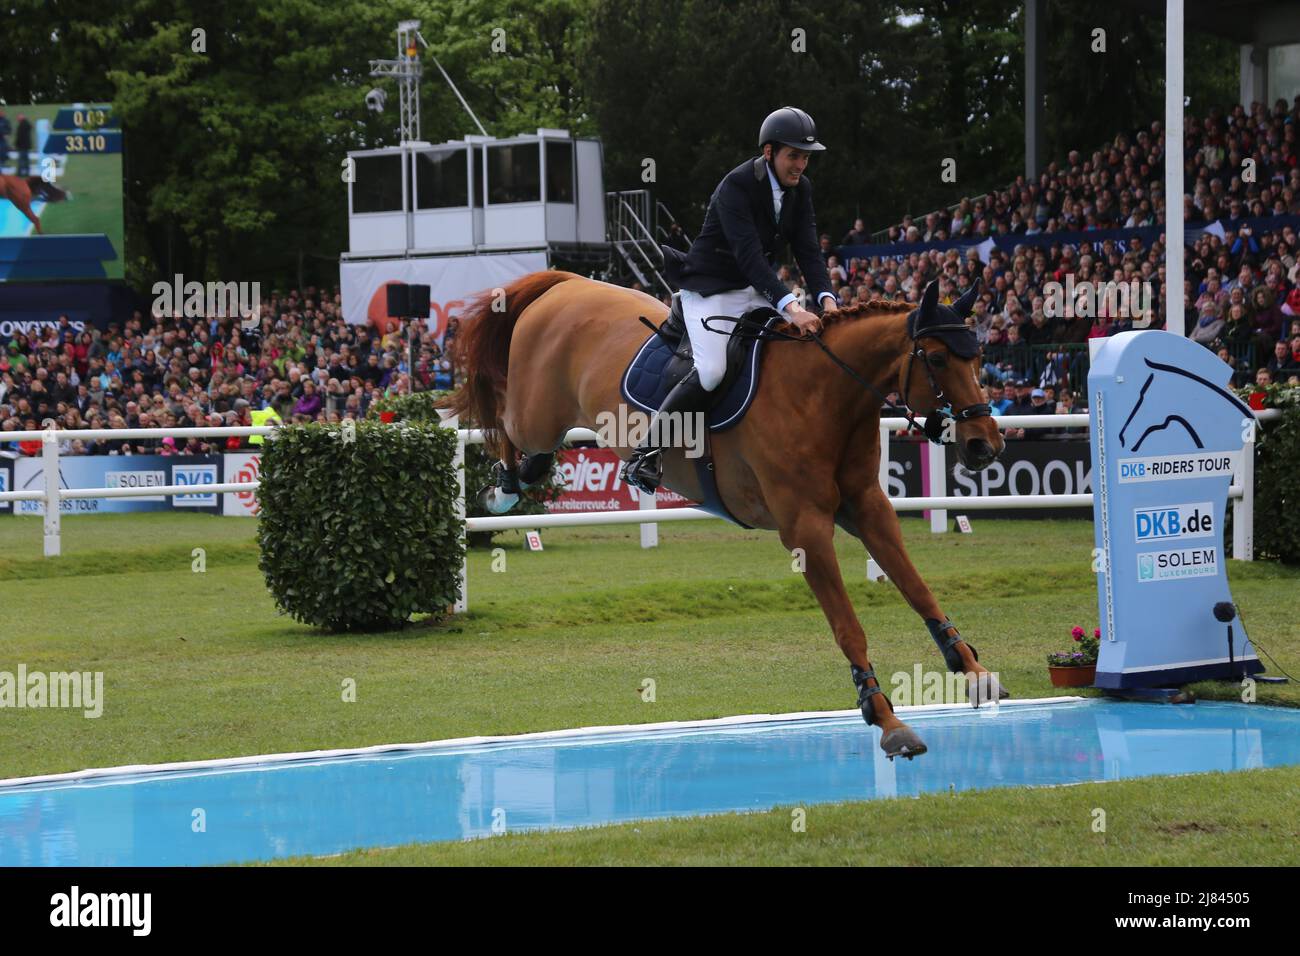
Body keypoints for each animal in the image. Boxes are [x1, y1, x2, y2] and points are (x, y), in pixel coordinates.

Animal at [441, 270, 1008, 764]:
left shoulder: (868, 507)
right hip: (537, 415)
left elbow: (919, 590)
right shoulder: (805, 529)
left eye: (979, 356)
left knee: (532, 455)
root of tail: (569, 282)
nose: (985, 447)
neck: (824, 394)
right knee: (508, 429)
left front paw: (972, 670)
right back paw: (498, 493)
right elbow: (849, 628)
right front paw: (886, 719)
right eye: (937, 358)